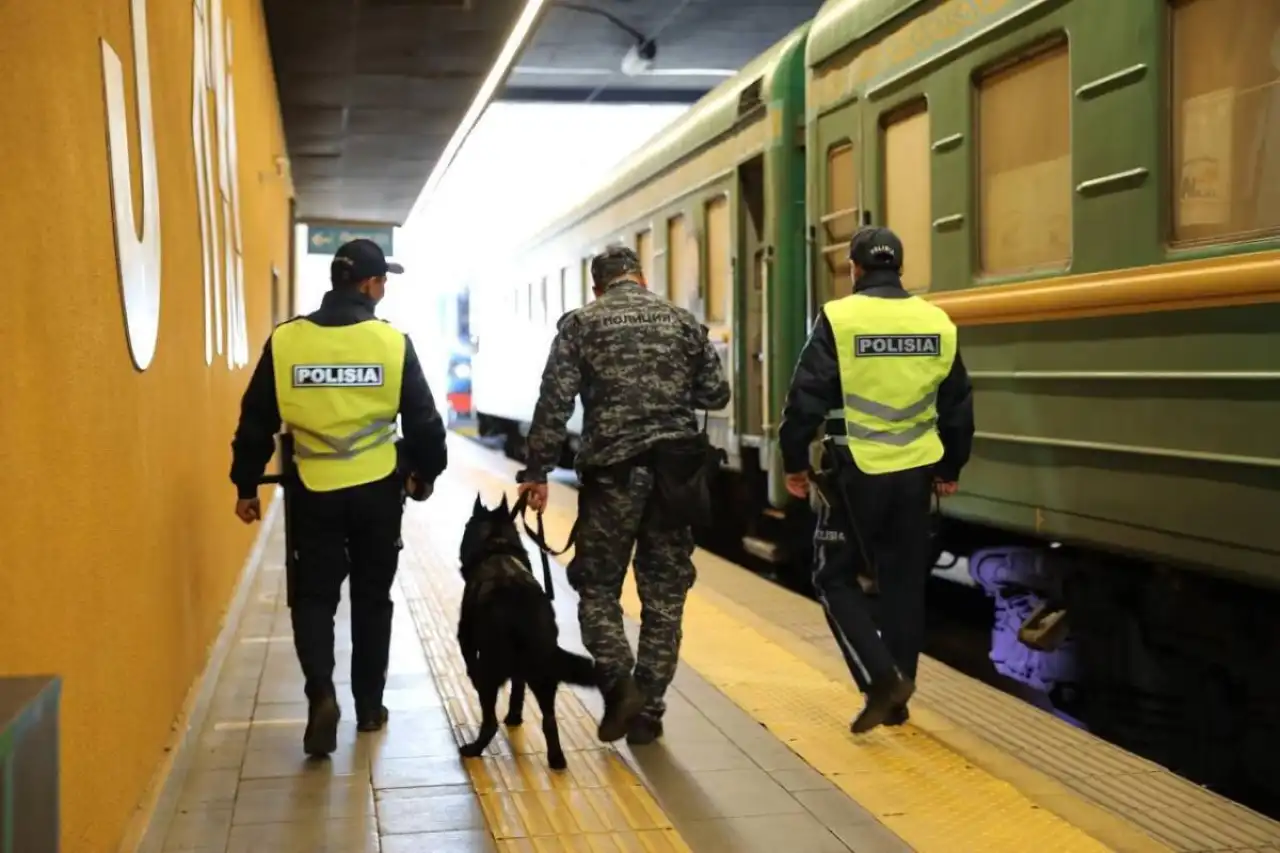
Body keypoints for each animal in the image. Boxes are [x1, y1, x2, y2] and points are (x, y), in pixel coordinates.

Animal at [455, 489, 593, 768]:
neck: (496, 546)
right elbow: (518, 689)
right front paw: (515, 716)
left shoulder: (465, 637)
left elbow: (470, 661)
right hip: (544, 674)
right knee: (549, 720)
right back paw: (557, 759)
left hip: (492, 669)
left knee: (490, 721)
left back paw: (473, 748)